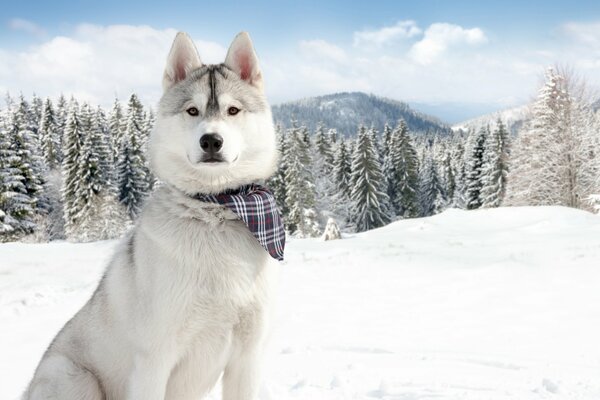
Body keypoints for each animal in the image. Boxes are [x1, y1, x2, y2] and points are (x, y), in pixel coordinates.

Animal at [23, 31, 282, 400]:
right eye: (192, 110)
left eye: (233, 110)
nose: (211, 140)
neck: (215, 209)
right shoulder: (154, 359)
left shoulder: (246, 358)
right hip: (73, 377)